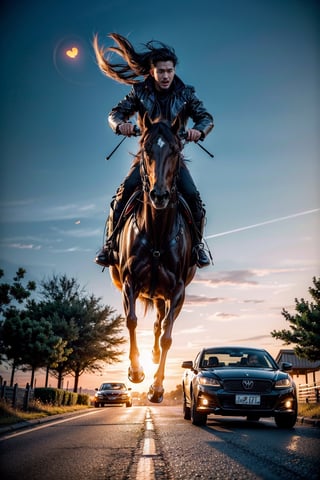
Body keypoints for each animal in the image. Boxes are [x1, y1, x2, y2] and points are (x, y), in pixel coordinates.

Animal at [110, 114, 196, 404]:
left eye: (176, 149)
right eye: (146, 149)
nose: (159, 195)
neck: (157, 232)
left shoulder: (178, 290)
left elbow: (168, 333)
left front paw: (156, 388)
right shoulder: (129, 282)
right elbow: (131, 321)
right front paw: (136, 372)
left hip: (161, 295)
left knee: (159, 324)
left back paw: (156, 356)